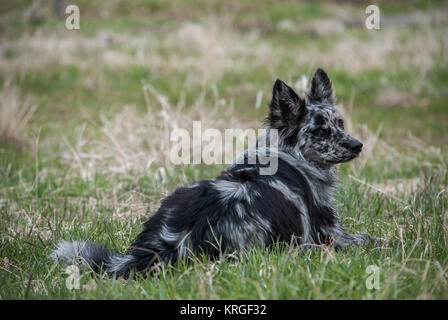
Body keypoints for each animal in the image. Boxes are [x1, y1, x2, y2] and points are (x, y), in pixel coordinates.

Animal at [50, 68, 376, 278]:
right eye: (320, 131)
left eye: (340, 123)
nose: (358, 145)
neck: (288, 154)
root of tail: (172, 245)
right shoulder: (333, 237)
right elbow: (372, 239)